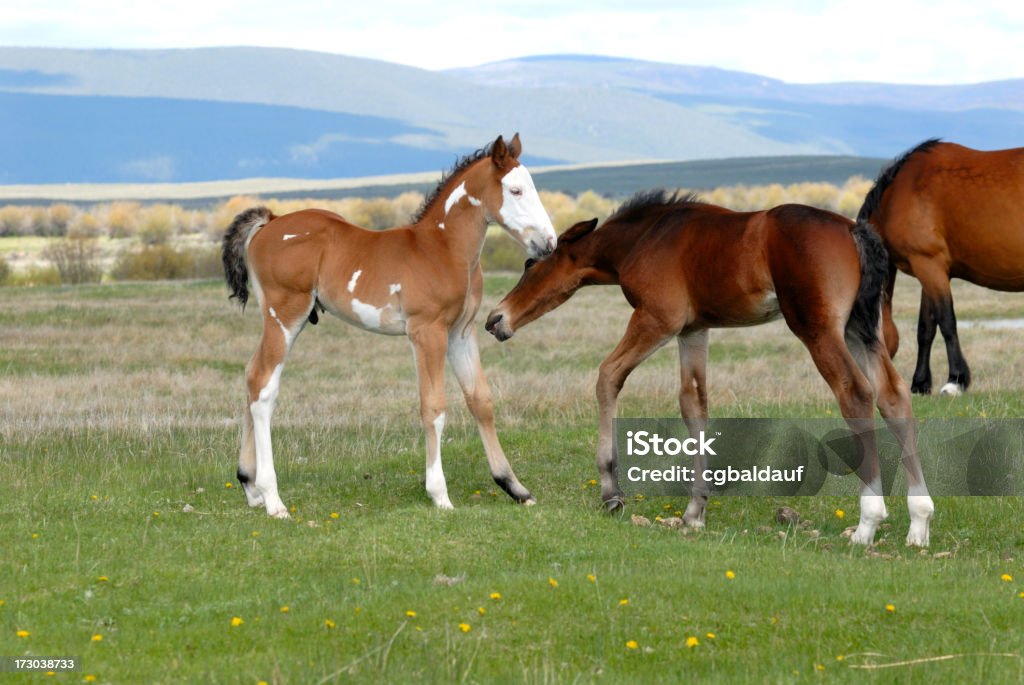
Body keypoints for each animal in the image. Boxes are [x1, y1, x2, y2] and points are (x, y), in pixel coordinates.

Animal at [221, 135, 557, 518]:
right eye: (515, 190)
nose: (548, 243)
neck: (442, 248)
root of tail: (271, 222)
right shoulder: (427, 332)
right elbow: (434, 406)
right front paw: (440, 495)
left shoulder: (461, 333)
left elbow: (481, 401)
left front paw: (514, 487)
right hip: (286, 315)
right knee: (264, 386)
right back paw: (273, 499)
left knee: (251, 375)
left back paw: (250, 487)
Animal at [487, 191, 937, 544]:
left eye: (530, 265)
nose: (495, 319)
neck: (645, 239)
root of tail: (854, 230)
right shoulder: (693, 330)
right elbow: (694, 405)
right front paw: (695, 510)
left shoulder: (657, 320)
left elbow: (608, 376)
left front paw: (611, 491)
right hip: (860, 329)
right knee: (893, 397)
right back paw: (919, 522)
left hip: (819, 329)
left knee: (855, 393)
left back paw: (868, 523)